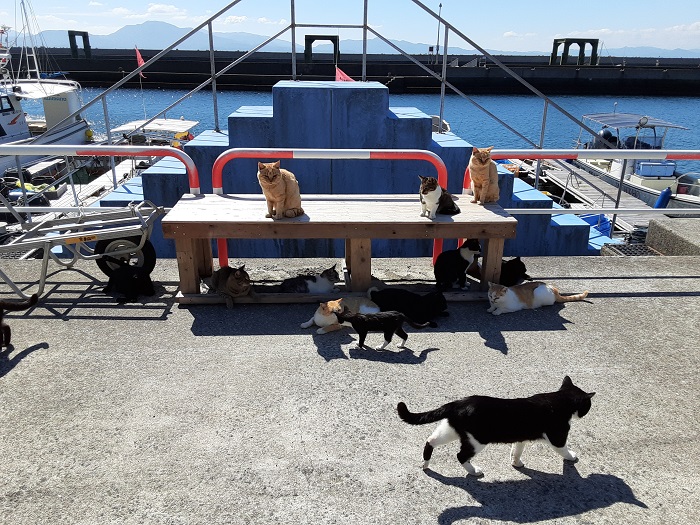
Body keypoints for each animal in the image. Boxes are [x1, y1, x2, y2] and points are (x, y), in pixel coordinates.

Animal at [397, 376, 595, 477]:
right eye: (588, 406)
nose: (586, 413)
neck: (557, 400)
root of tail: (457, 403)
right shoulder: (558, 436)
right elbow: (564, 450)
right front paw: (572, 457)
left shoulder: (521, 437)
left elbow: (517, 450)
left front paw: (516, 463)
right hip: (477, 441)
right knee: (460, 456)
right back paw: (474, 471)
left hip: (451, 430)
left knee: (430, 440)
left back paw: (425, 464)